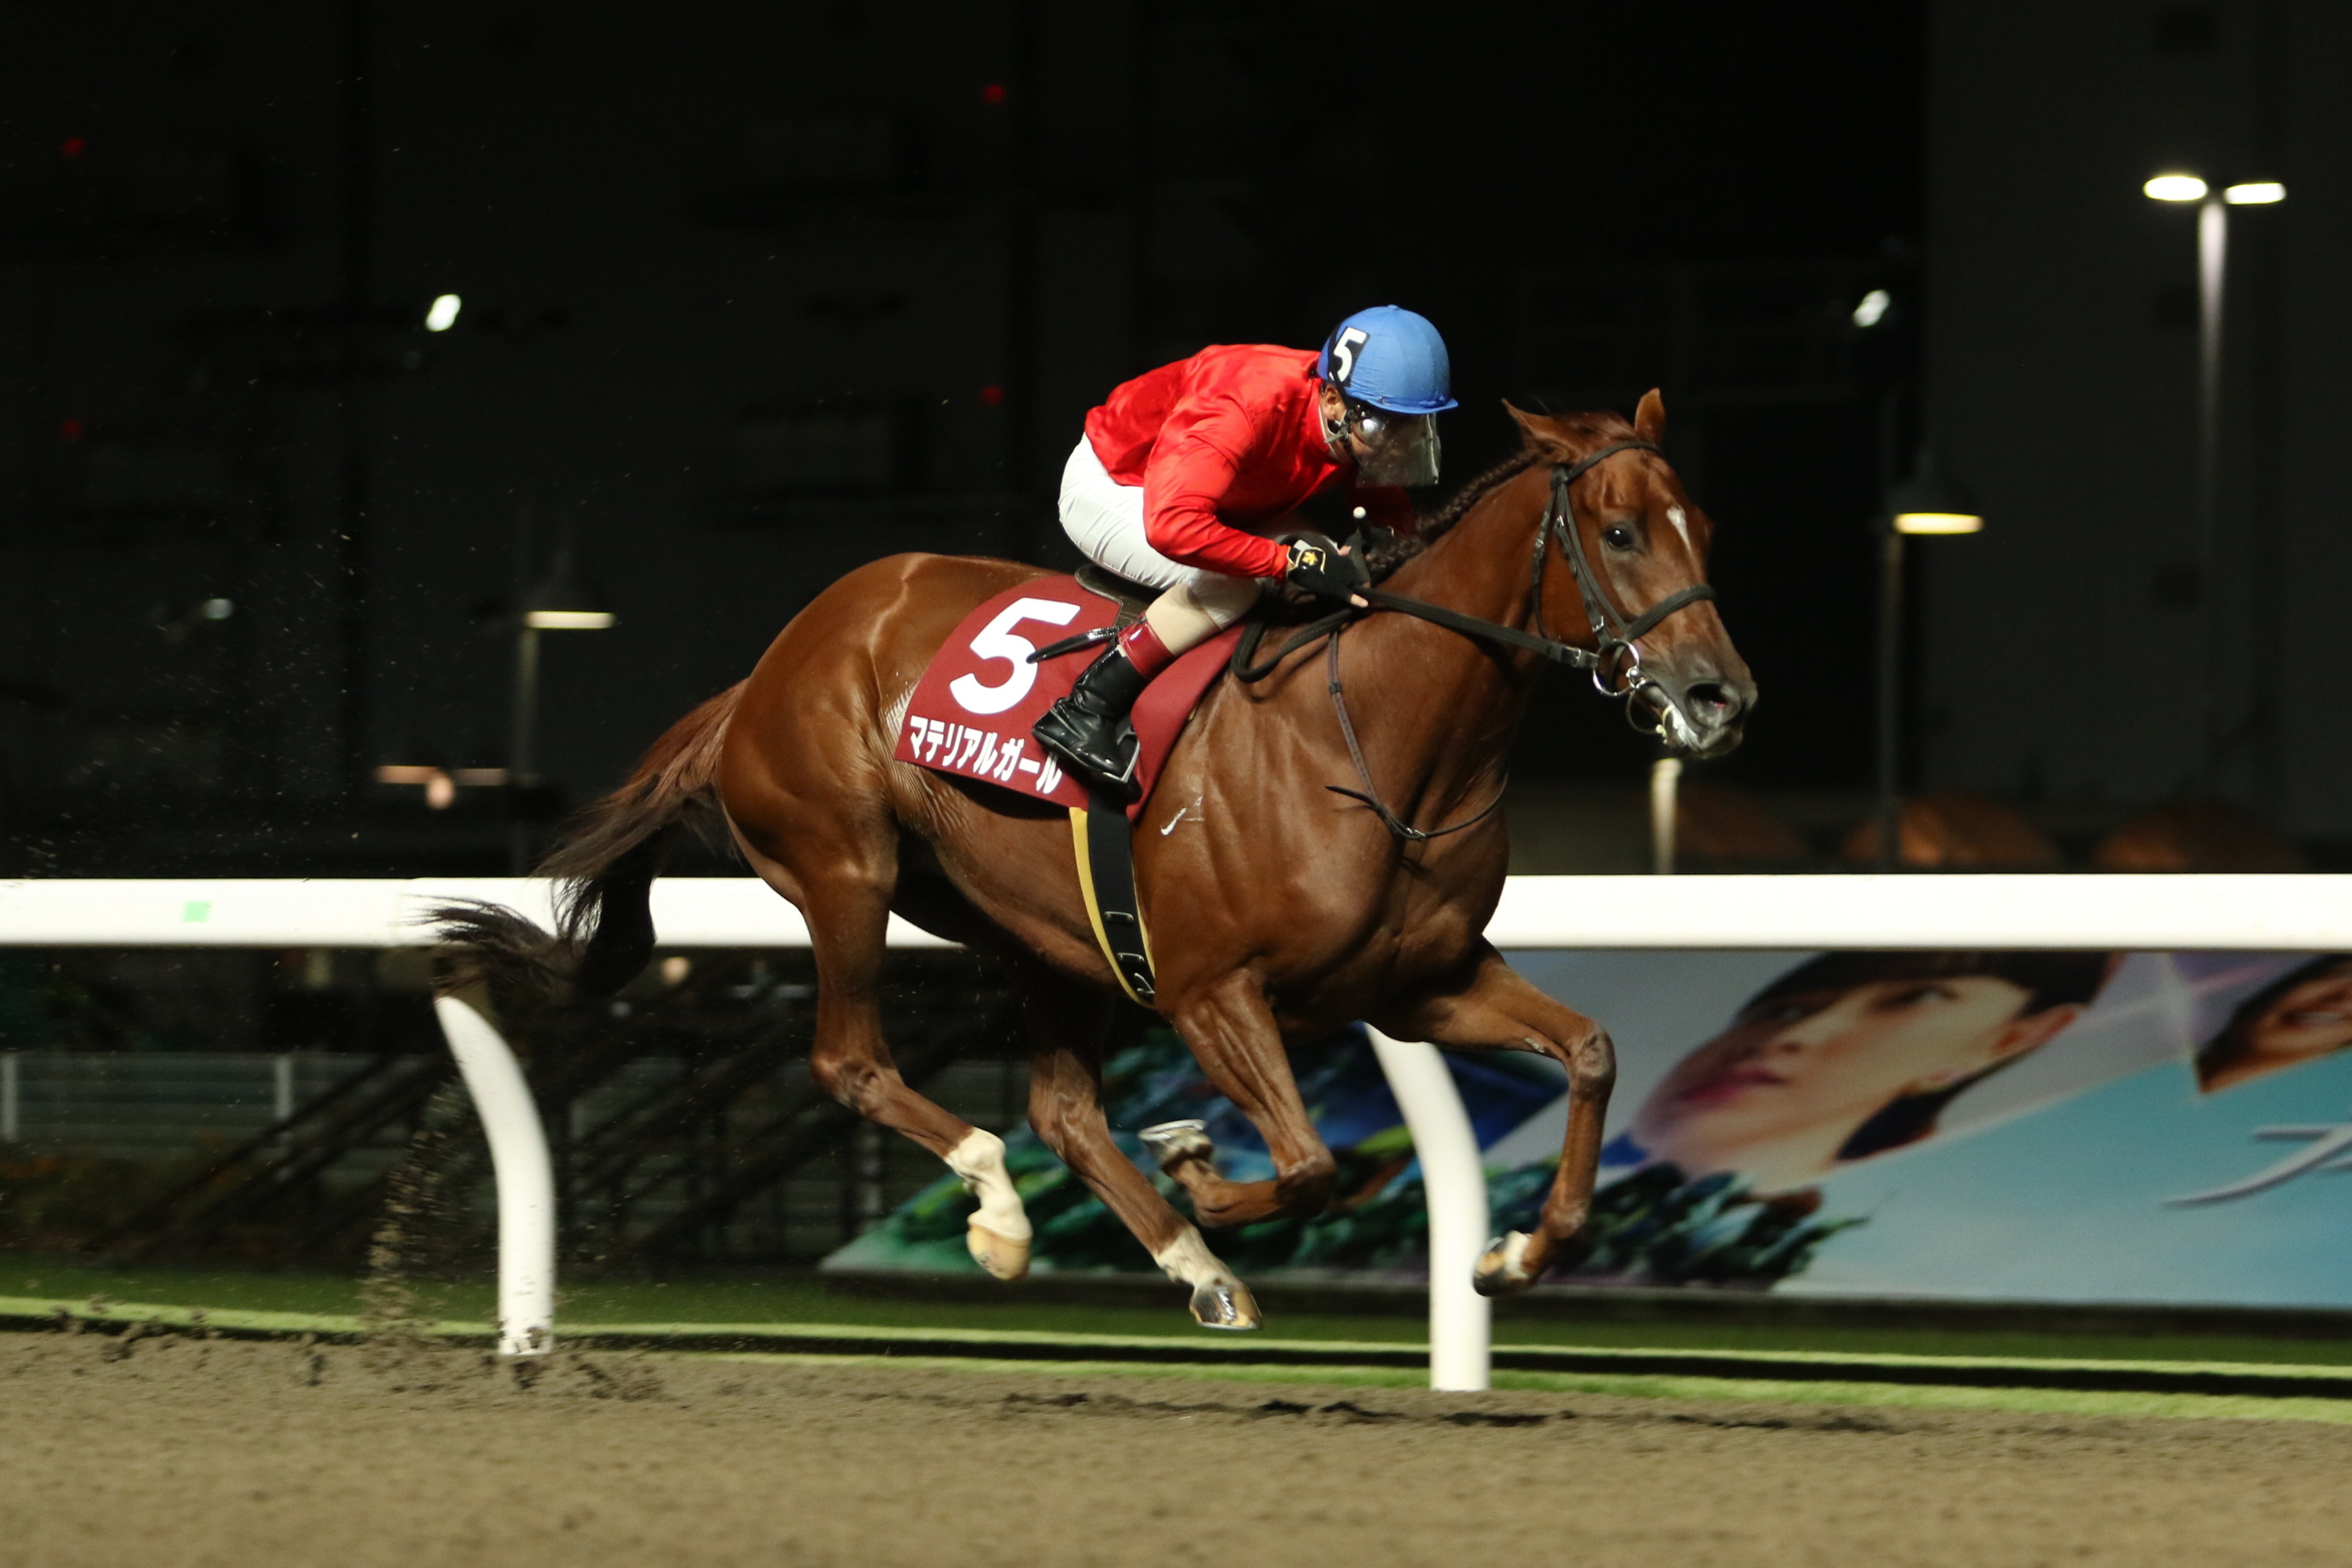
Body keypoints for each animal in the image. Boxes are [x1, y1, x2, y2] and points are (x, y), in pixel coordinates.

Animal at [449, 392, 1759, 1326]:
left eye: (1703, 526)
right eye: (1620, 532)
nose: (1719, 698)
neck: (1376, 737)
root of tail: (772, 665)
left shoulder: (1418, 984)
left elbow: (1588, 1053)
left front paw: (1514, 1253)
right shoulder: (1211, 988)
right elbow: (1307, 1165)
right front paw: (1199, 1164)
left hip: (1043, 933)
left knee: (1063, 1107)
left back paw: (1192, 1264)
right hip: (846, 871)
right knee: (854, 1061)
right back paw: (1002, 1213)